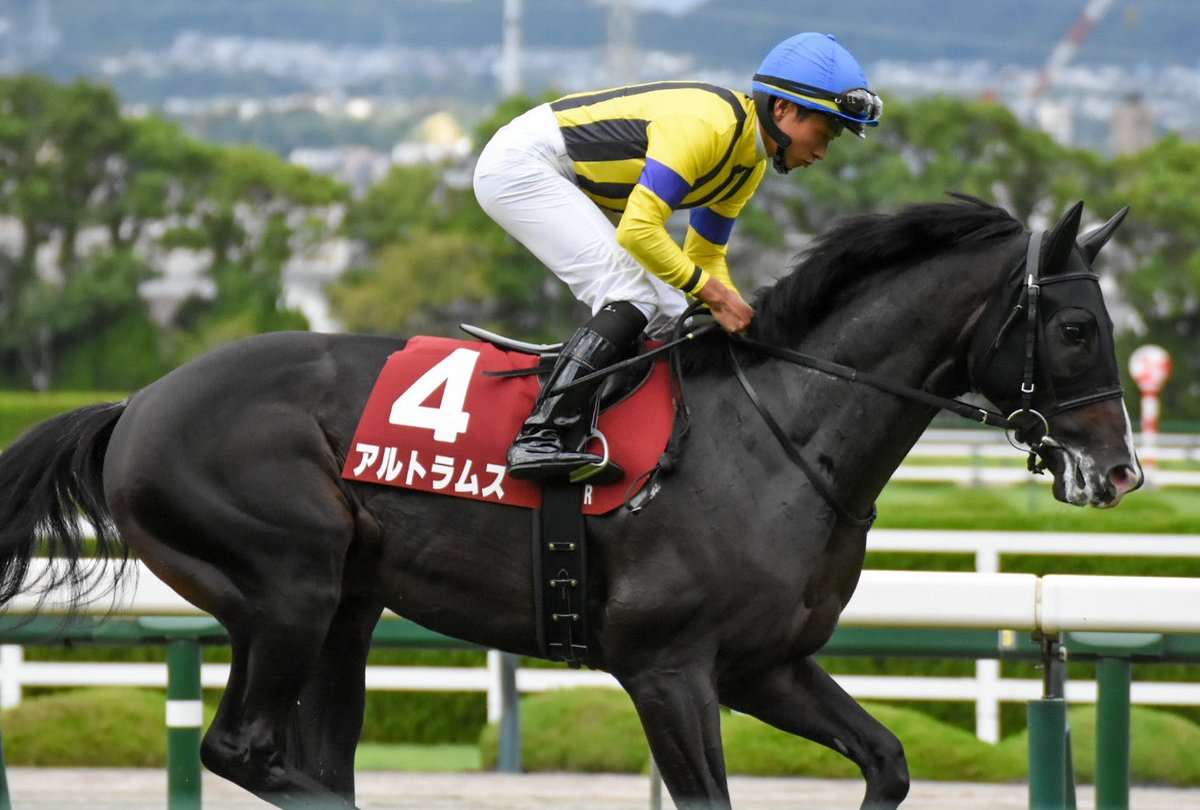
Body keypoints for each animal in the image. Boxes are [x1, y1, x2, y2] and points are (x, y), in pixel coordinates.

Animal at [0, 196, 1142, 809]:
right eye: (1077, 329)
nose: (1123, 472)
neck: (779, 434)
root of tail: (139, 404)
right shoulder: (667, 669)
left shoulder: (766, 666)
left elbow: (891, 761)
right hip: (287, 584)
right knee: (244, 749)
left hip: (347, 608)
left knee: (304, 754)